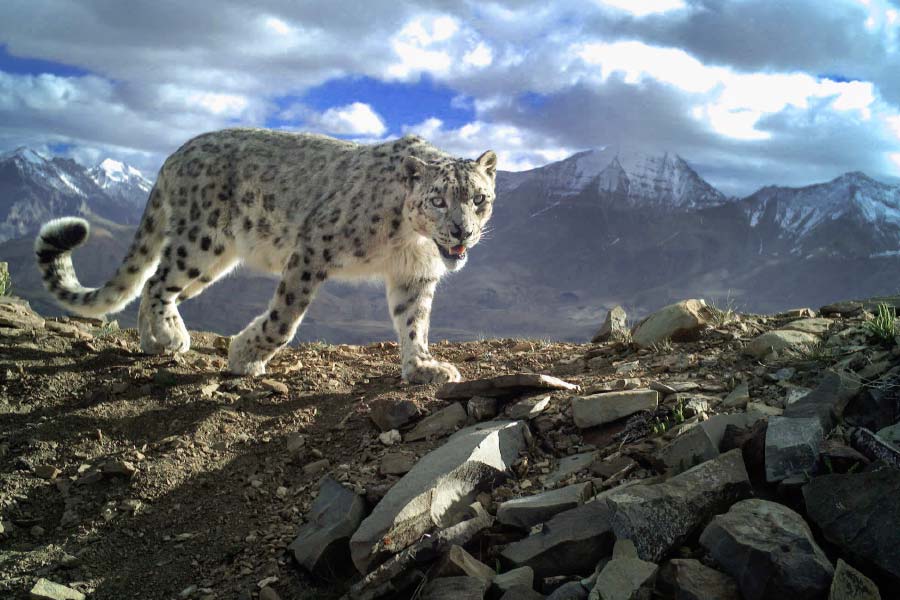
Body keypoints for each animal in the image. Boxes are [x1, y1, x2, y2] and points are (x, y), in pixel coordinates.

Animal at [34, 128, 497, 384]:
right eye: (437, 200)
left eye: (479, 198)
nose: (462, 231)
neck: (409, 243)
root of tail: (174, 155)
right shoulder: (314, 247)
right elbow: (284, 319)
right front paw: (244, 356)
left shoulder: (413, 276)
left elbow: (414, 321)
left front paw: (423, 367)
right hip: (201, 241)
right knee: (158, 281)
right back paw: (171, 336)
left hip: (213, 261)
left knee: (151, 282)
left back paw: (154, 342)